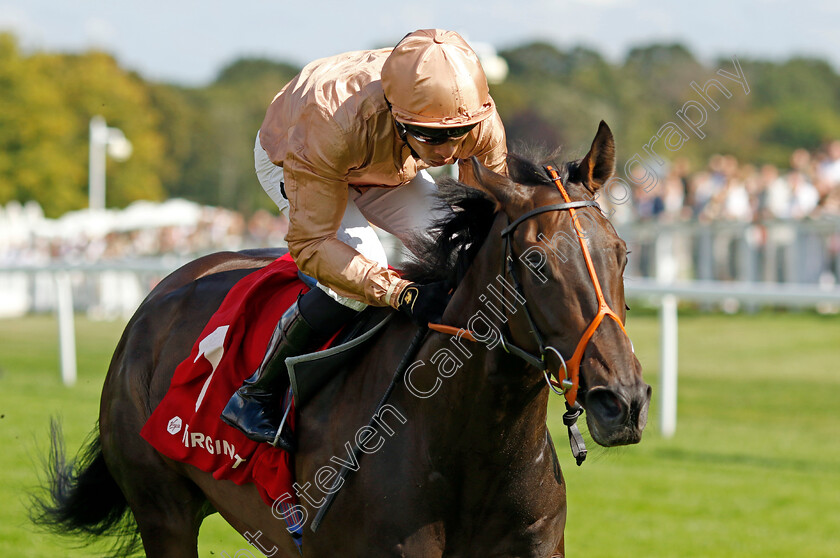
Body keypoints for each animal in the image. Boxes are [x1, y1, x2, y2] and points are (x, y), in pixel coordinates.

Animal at [32, 123, 648, 558]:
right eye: (537, 262)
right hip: (164, 511)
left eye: (622, 253)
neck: (470, 450)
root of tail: (155, 298)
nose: (623, 402)